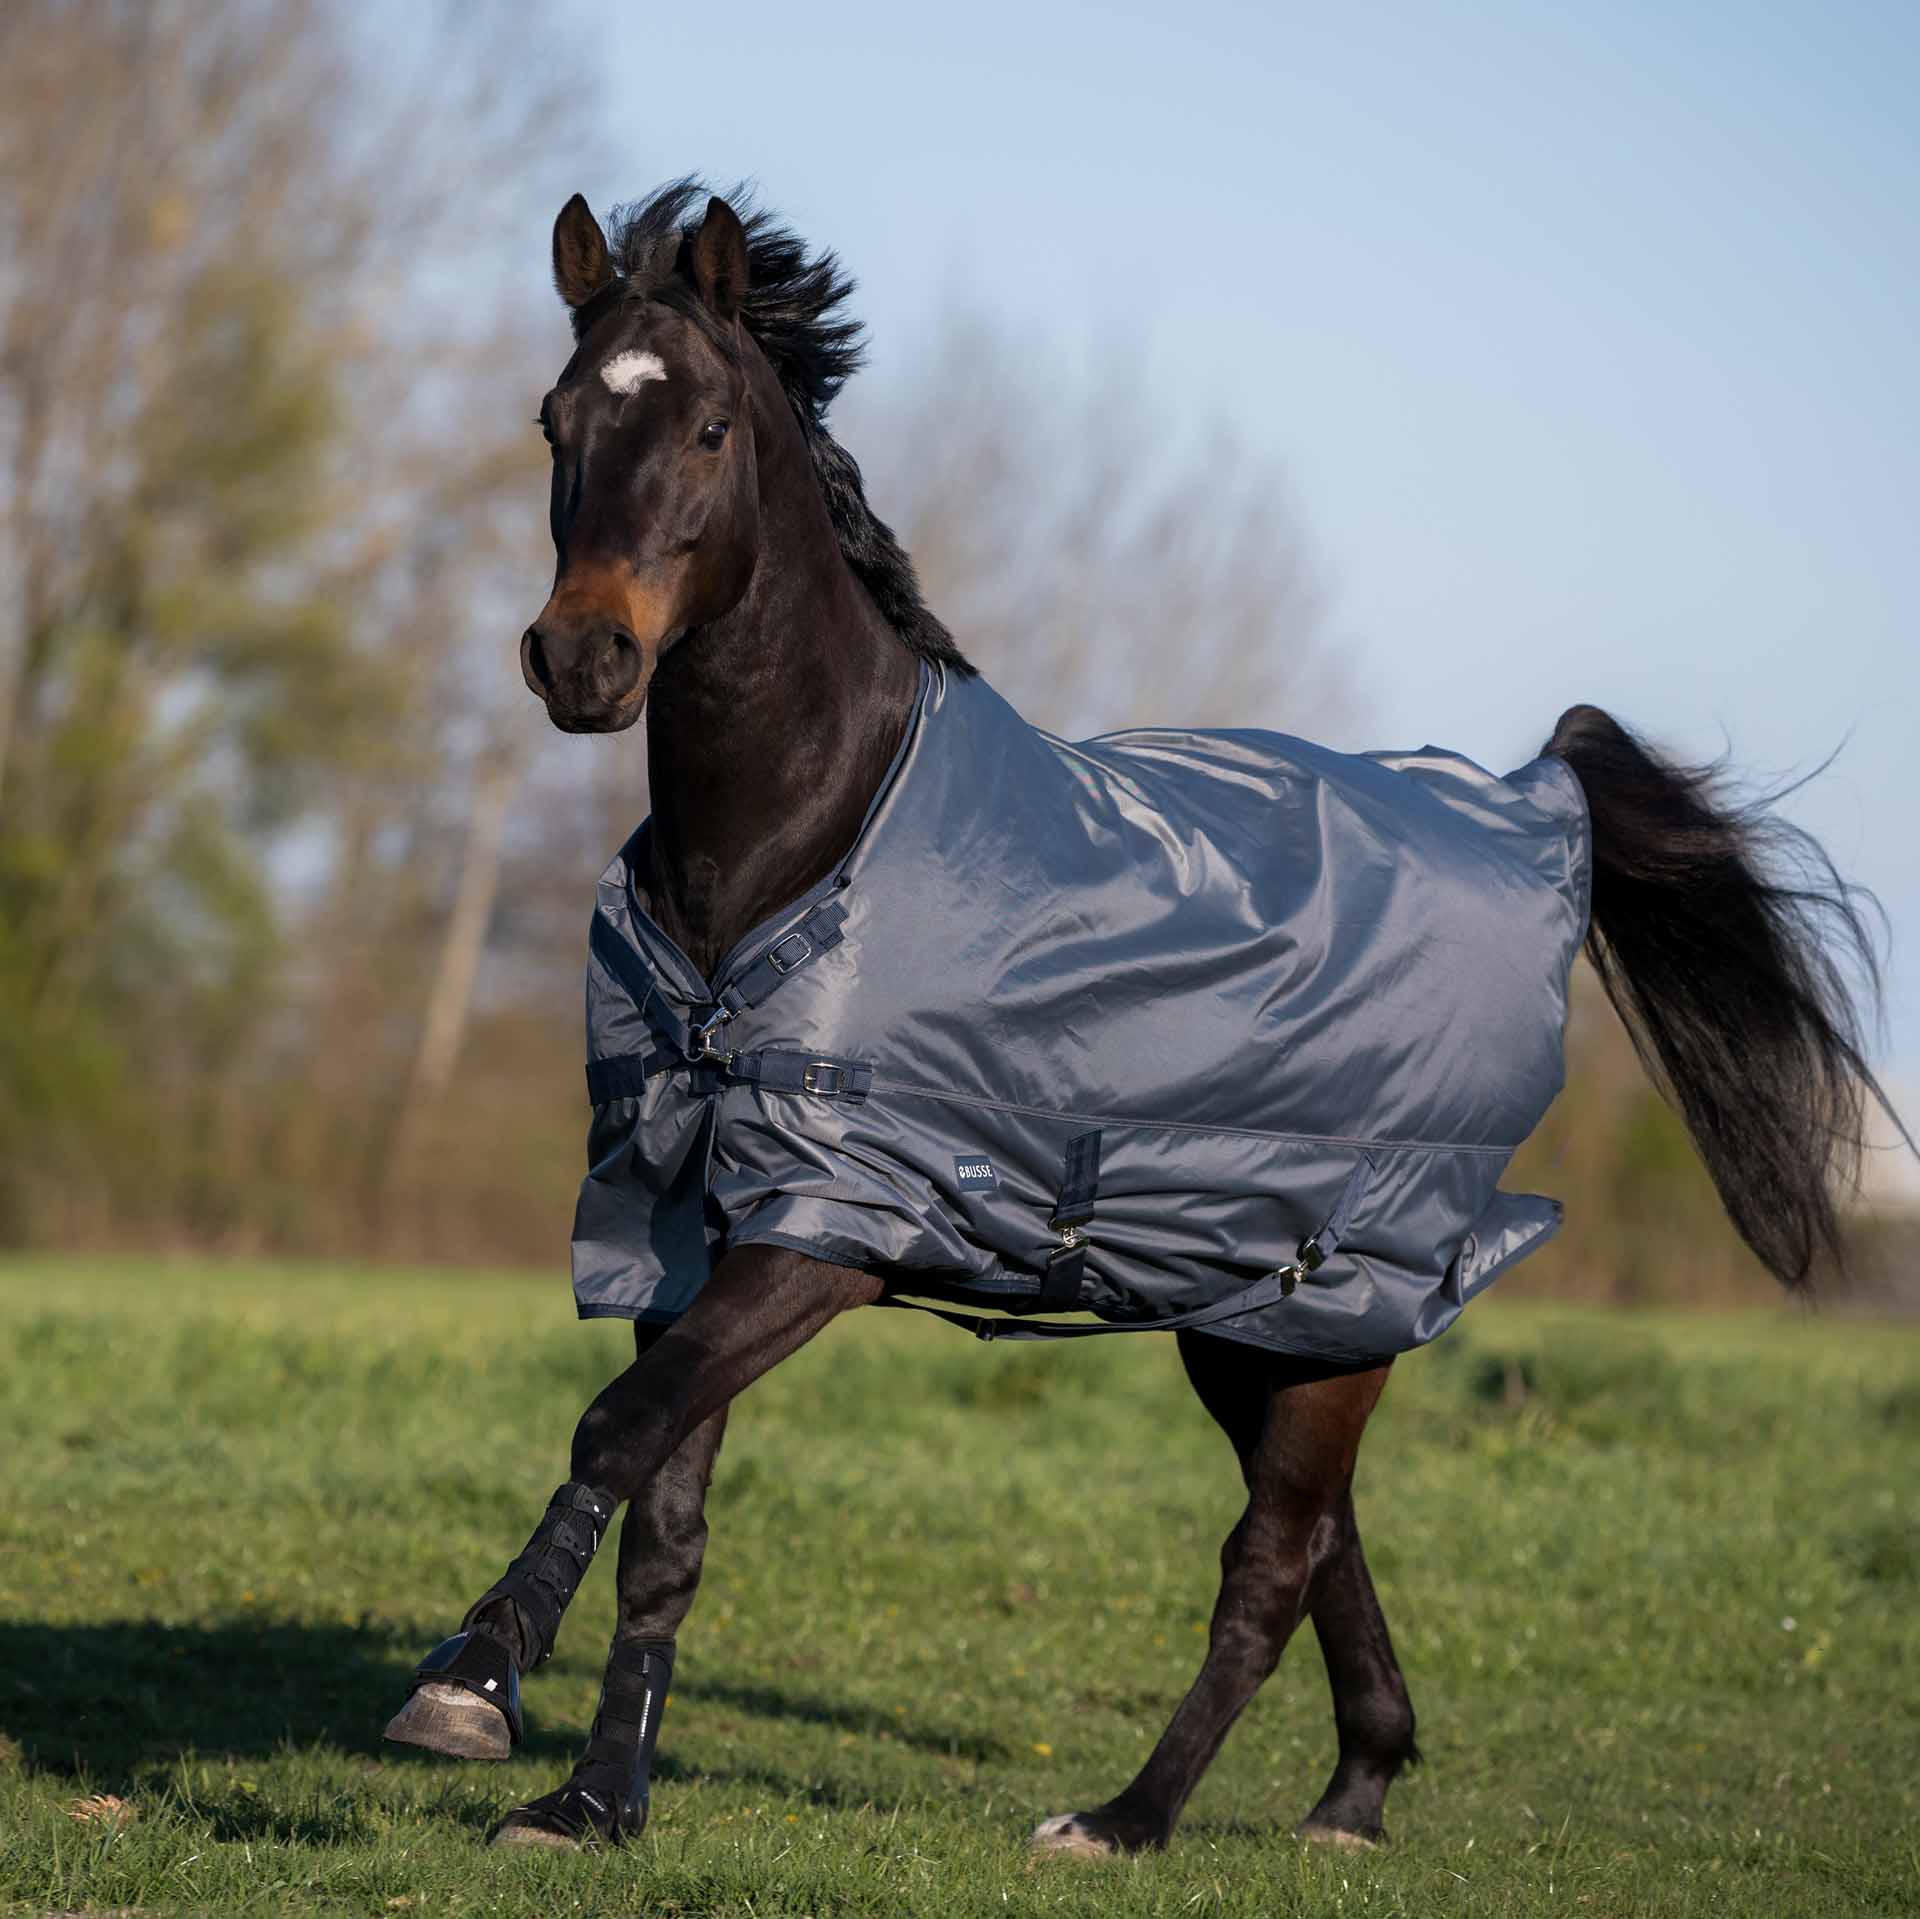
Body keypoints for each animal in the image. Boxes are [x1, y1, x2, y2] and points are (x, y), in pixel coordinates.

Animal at [382, 183, 1896, 1859]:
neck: (796, 845)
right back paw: (1353, 1792)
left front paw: (470, 1679)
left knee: (1271, 1561)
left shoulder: (827, 1226)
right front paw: (591, 1797)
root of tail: (1526, 799)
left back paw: (1126, 1816)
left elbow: (613, 1426)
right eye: (556, 418)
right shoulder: (682, 1220)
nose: (581, 659)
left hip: (1336, 1289)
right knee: (1326, 1540)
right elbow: (665, 1502)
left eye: (710, 425)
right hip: (1262, 1320)